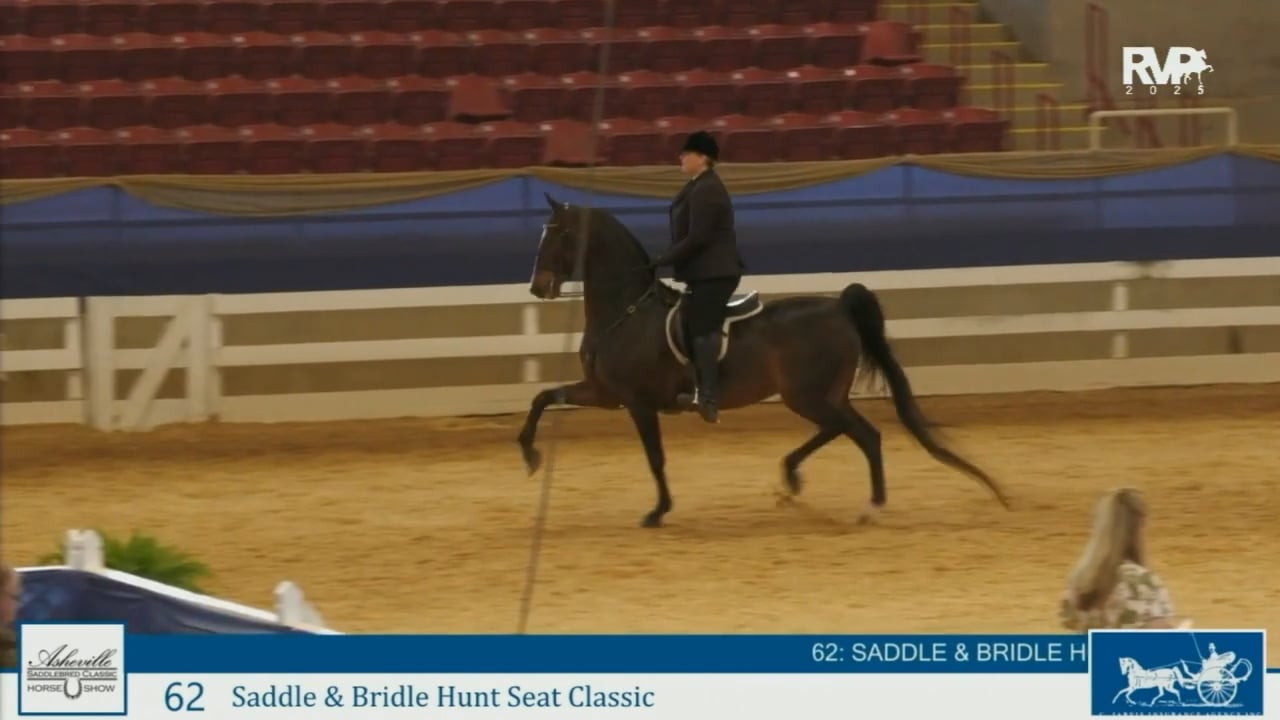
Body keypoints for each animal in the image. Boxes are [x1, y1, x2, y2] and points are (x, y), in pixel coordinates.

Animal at [516, 193, 1010, 528]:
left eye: (556, 233)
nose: (538, 287)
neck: (626, 309)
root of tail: (837, 307)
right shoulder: (605, 392)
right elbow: (542, 397)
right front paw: (530, 455)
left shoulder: (637, 402)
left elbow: (655, 458)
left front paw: (658, 511)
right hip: (817, 395)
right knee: (842, 429)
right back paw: (793, 481)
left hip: (807, 395)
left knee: (862, 434)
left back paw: (869, 507)